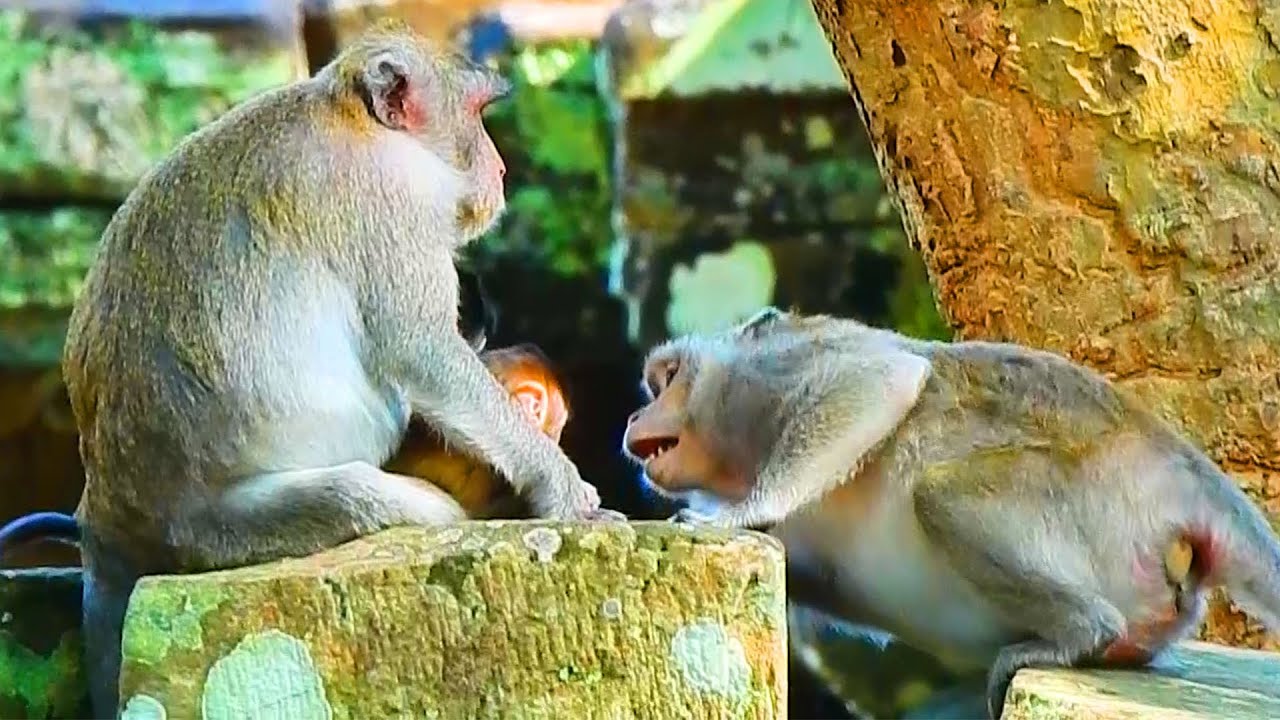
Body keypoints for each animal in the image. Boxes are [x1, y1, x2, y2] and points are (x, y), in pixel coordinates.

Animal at [61, 22, 622, 717]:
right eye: (477, 114)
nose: (500, 168)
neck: (356, 119)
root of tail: (108, 507)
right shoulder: (395, 200)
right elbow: (421, 350)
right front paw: (562, 488)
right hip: (229, 530)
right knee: (355, 489)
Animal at [621, 306, 1280, 720]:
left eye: (667, 378)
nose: (632, 415)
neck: (737, 460)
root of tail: (1181, 467)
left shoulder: (772, 376)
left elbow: (877, 379)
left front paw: (739, 515)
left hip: (1095, 503)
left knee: (942, 497)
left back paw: (1084, 632)